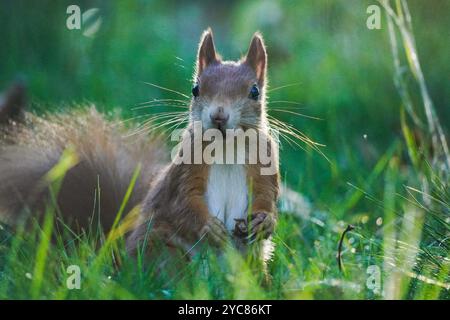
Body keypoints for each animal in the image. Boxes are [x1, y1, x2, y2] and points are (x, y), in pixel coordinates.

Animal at [0, 29, 280, 264]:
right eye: (195, 89)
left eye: (254, 91)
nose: (219, 116)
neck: (226, 147)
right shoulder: (185, 170)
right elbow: (184, 201)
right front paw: (208, 227)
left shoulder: (264, 162)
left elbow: (266, 195)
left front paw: (264, 221)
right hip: (162, 247)